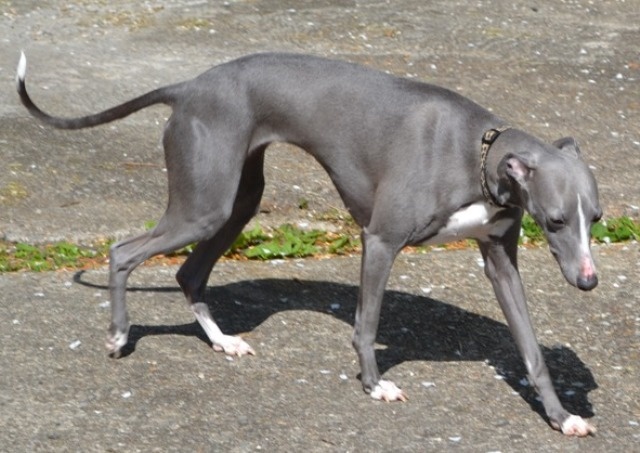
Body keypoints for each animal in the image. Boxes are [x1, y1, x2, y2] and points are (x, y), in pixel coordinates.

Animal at [16, 51, 604, 436]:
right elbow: (366, 325)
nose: (589, 281)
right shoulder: (381, 240)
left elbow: (531, 350)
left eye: (594, 219)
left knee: (188, 273)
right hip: (203, 208)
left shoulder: (500, 260)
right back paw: (118, 336)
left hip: (236, 203)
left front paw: (562, 417)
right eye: (555, 221)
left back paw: (223, 341)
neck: (479, 154)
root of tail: (189, 86)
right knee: (123, 252)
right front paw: (374, 385)